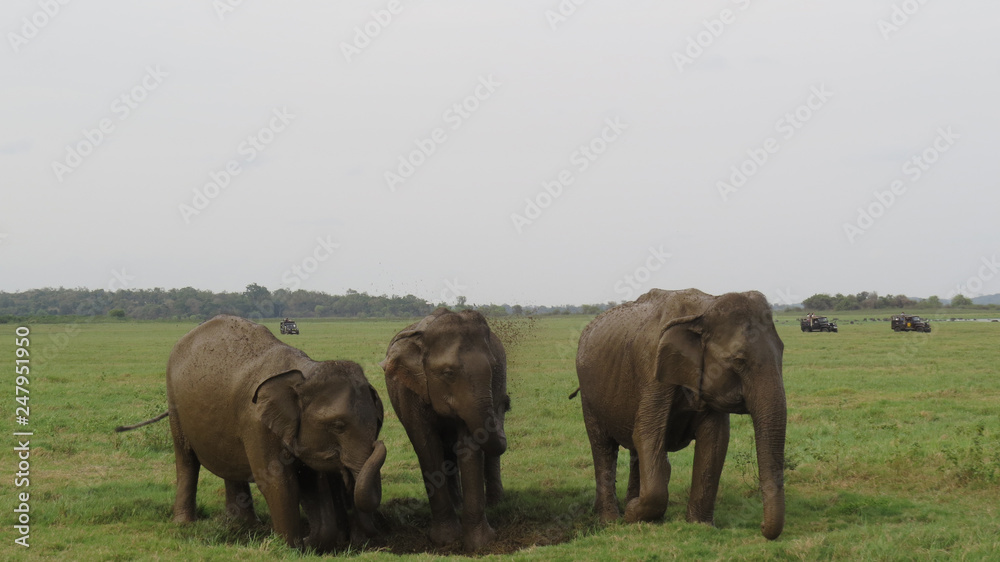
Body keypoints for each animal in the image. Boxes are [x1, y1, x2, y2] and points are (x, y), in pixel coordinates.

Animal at [117, 315, 386, 552]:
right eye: (338, 425)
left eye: (377, 423)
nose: (380, 444)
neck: (304, 371)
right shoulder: (256, 422)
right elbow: (279, 482)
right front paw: (290, 548)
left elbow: (310, 481)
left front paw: (312, 542)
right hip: (174, 401)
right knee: (186, 461)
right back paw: (186, 524)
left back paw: (242, 525)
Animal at [380, 307, 510, 551]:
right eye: (448, 373)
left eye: (493, 368)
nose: (506, 402)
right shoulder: (409, 389)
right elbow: (427, 446)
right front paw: (445, 540)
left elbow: (469, 445)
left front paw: (479, 545)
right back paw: (459, 505)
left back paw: (496, 504)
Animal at [574, 289, 786, 540]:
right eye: (738, 361)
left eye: (782, 352)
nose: (761, 527)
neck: (705, 309)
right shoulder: (652, 373)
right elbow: (647, 434)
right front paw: (633, 513)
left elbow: (715, 440)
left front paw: (700, 525)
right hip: (589, 395)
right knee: (603, 446)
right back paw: (610, 520)